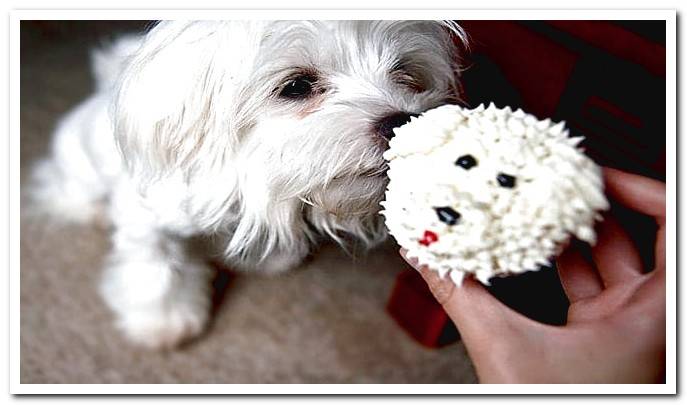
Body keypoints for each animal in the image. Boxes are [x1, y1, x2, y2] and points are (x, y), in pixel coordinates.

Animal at [29, 20, 464, 348]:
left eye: (405, 73)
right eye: (296, 86)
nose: (405, 122)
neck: (248, 177)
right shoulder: (146, 220)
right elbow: (156, 271)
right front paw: (162, 321)